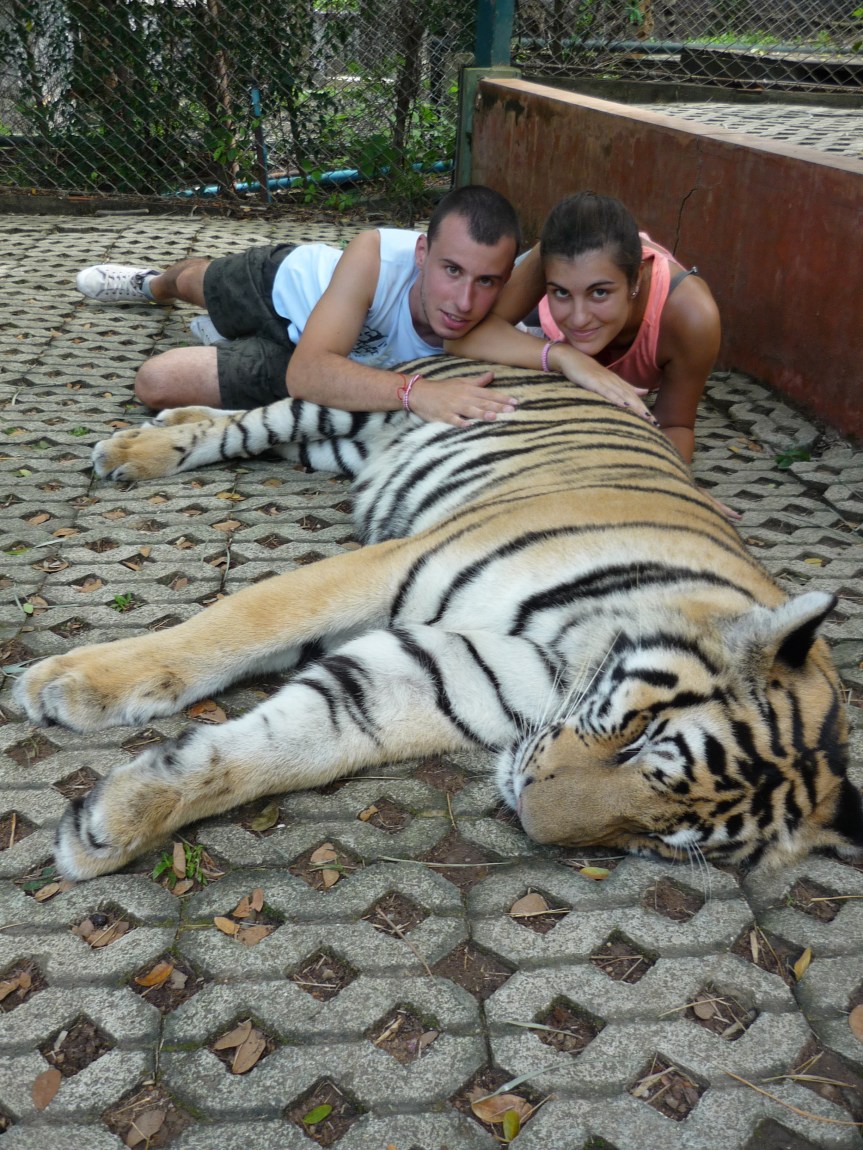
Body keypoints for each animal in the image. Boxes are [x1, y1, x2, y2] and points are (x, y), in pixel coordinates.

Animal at [15, 355, 862, 881]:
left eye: (657, 840)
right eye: (638, 742)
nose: (529, 815)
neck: (569, 657)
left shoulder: (438, 673)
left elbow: (292, 742)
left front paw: (118, 818)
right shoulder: (390, 565)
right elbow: (238, 623)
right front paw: (72, 684)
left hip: (340, 448)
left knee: (234, 422)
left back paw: (160, 422)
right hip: (351, 399)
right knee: (248, 419)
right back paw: (135, 449)